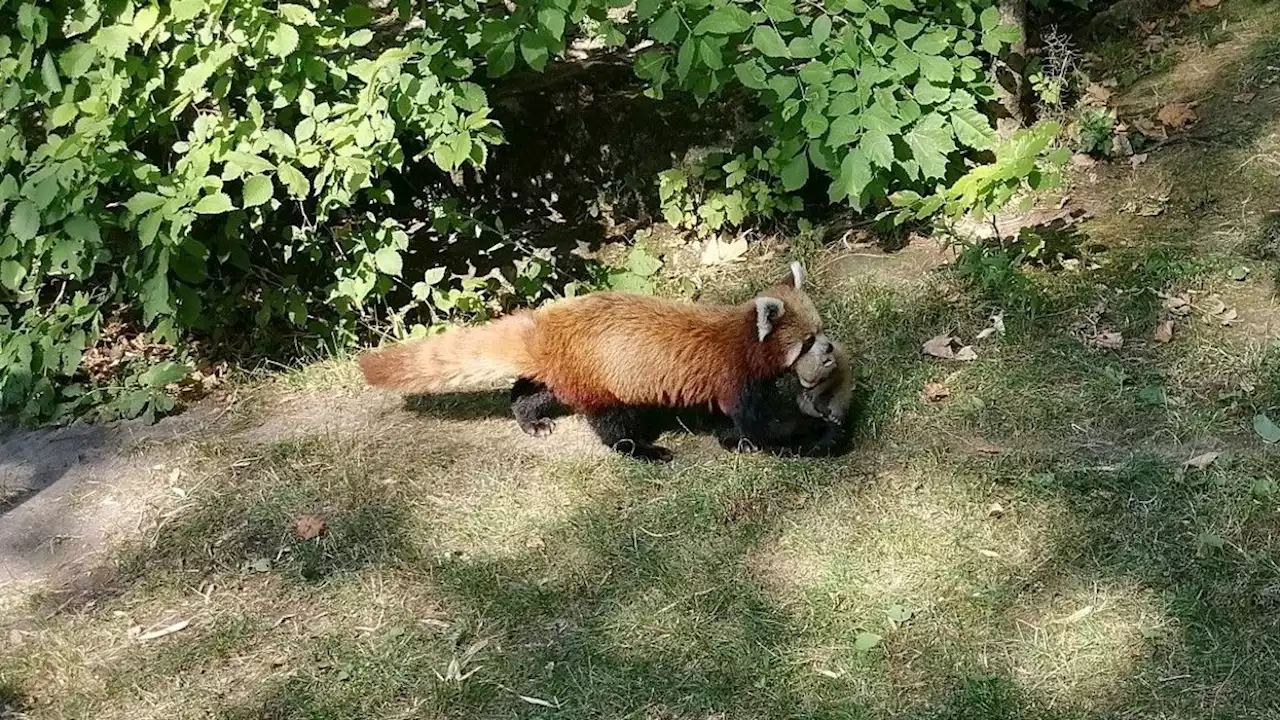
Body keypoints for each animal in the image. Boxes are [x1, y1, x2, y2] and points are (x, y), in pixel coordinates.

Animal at [358, 262, 819, 458]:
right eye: (810, 341)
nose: (829, 348)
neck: (741, 336)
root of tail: (548, 324)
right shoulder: (734, 378)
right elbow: (759, 423)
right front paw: (805, 432)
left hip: (566, 370)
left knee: (534, 389)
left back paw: (530, 419)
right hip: (600, 380)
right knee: (612, 423)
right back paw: (643, 450)